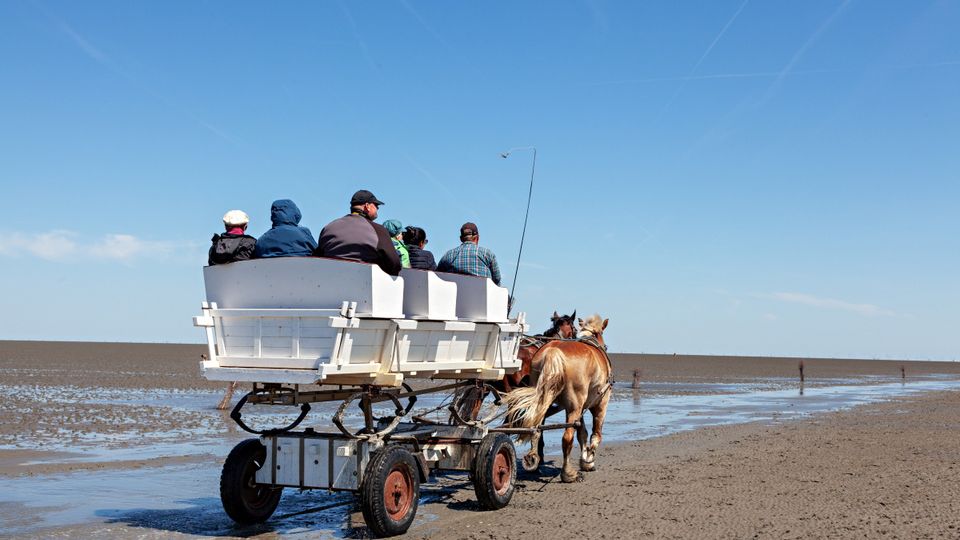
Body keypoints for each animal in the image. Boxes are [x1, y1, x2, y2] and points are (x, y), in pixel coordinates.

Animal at [502, 314, 616, 484]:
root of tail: (553, 352)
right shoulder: (600, 403)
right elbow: (595, 435)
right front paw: (588, 460)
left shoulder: (580, 408)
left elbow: (582, 433)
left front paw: (584, 458)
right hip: (575, 406)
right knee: (566, 438)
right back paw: (568, 474)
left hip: (543, 399)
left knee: (536, 427)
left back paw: (534, 458)